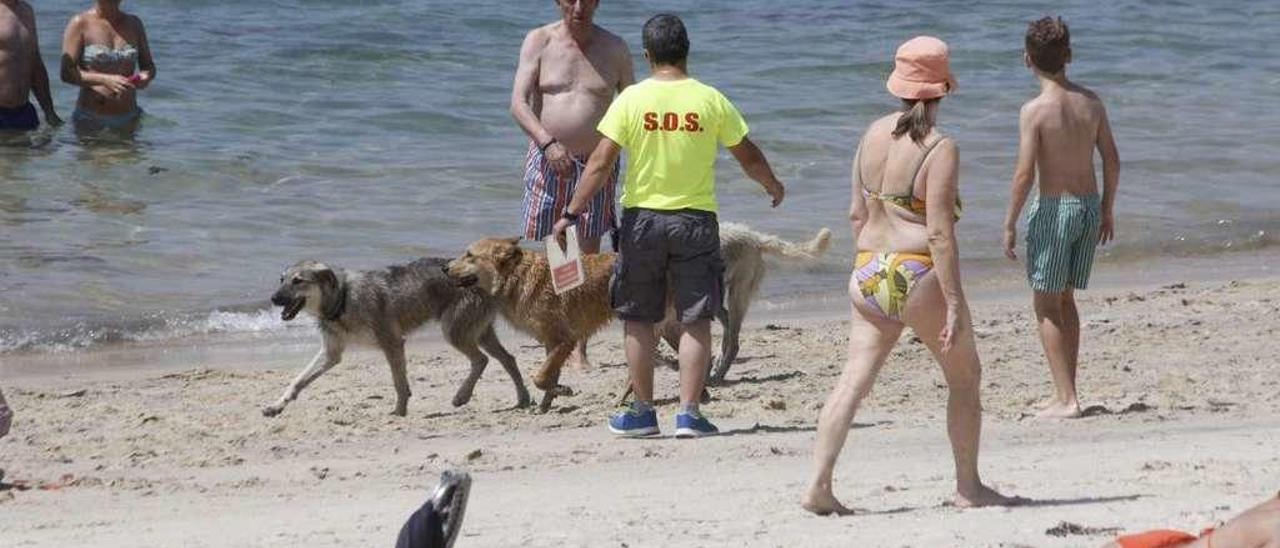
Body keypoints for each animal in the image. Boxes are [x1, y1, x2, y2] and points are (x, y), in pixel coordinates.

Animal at [264, 257, 529, 414]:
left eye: (298, 281)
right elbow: (298, 379)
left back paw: (462, 396)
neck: (343, 300)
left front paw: (399, 412)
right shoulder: (331, 354)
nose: (274, 299)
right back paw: (523, 399)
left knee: (481, 360)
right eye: (281, 280)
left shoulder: (391, 343)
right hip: (480, 333)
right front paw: (277, 406)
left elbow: (399, 384)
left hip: (454, 332)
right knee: (508, 359)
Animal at [445, 238, 614, 412]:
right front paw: (549, 400)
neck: (516, 277)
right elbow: (549, 376)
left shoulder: (565, 340)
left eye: (469, 255)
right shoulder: (551, 342)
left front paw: (560, 390)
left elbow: (539, 378)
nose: (444, 268)